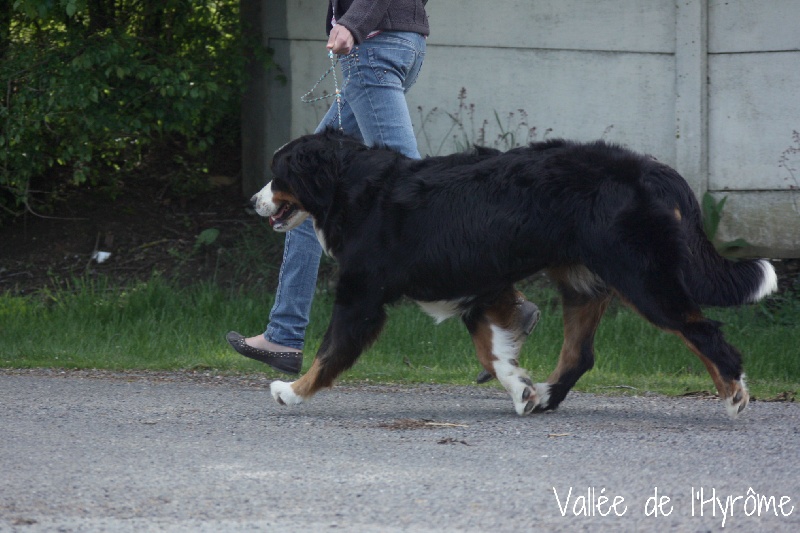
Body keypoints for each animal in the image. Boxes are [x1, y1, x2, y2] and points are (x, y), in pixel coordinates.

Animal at [251, 130, 777, 418]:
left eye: (279, 174)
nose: (252, 201)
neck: (353, 188)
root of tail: (651, 168)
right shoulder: (482, 287)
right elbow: (492, 349)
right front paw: (521, 387)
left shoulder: (362, 296)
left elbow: (329, 352)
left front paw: (291, 392)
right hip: (583, 280)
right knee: (580, 354)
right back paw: (545, 395)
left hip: (642, 278)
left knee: (702, 331)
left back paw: (734, 393)